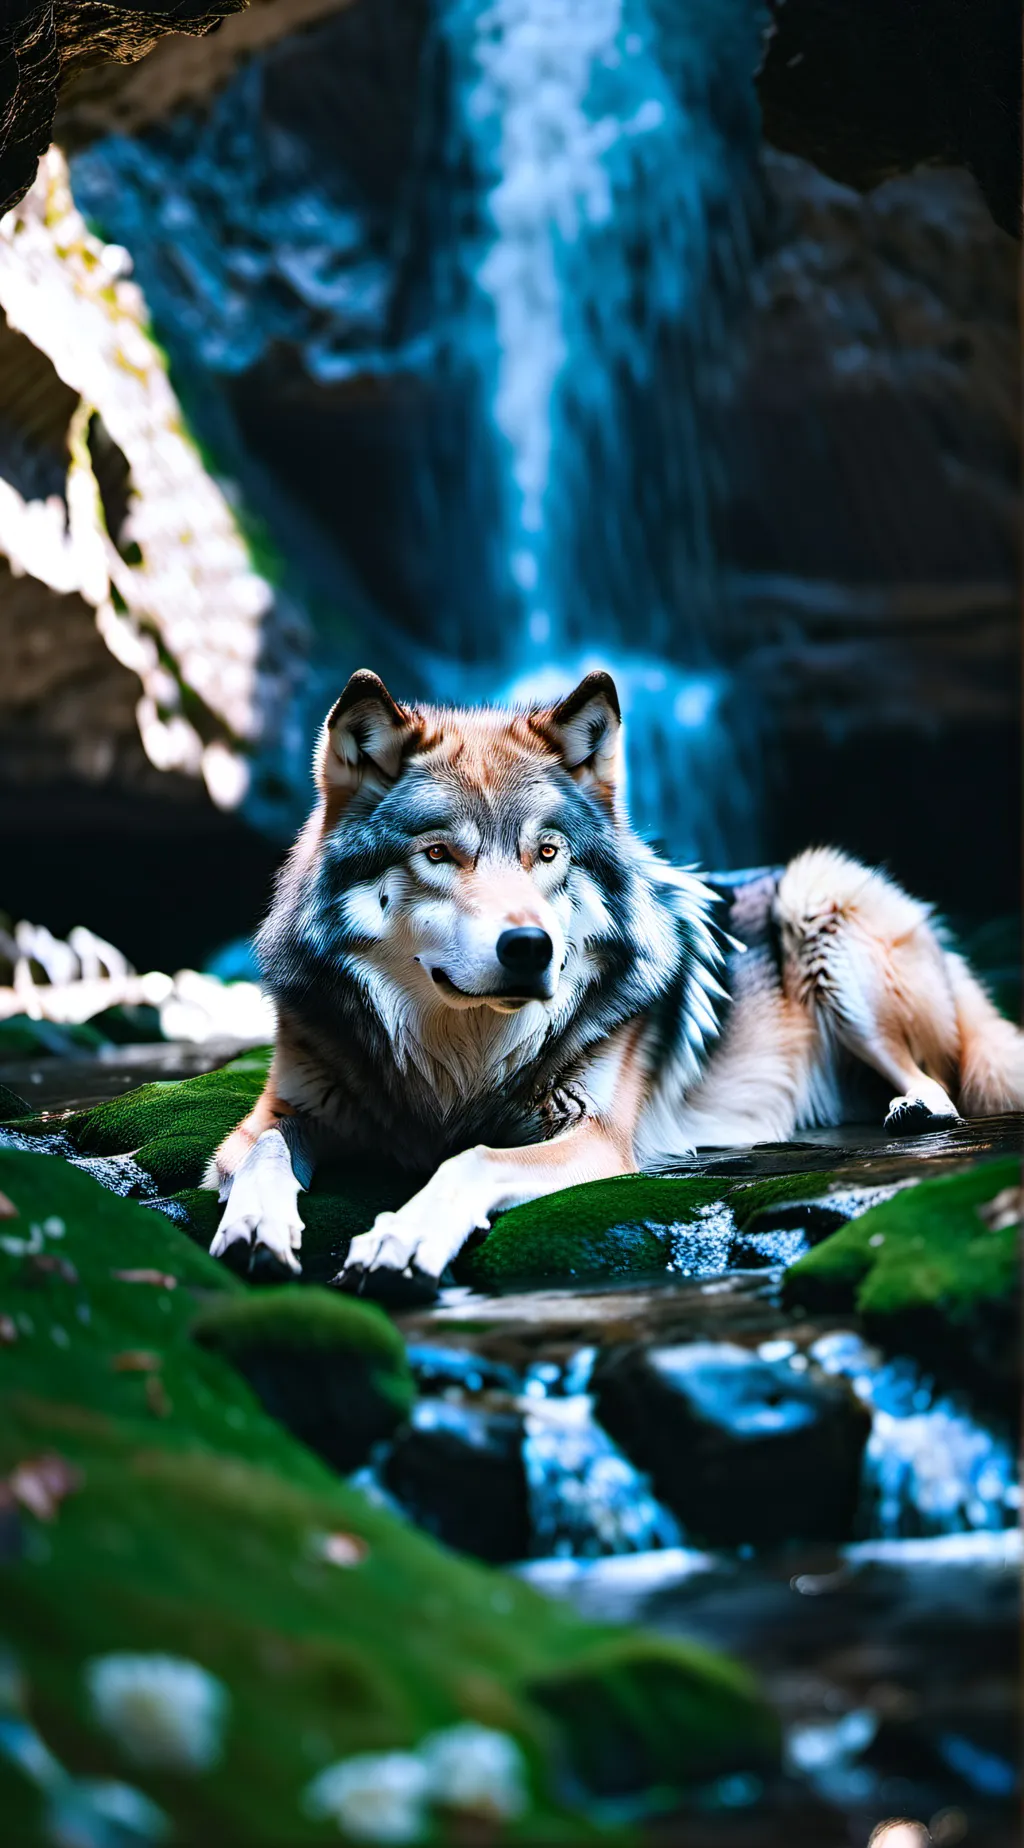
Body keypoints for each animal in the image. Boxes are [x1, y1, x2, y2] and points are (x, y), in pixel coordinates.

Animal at [207, 668, 1024, 1282]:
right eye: (438, 854)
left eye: (546, 852)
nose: (528, 947)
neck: (457, 1067)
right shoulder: (272, 1116)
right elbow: (265, 1154)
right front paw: (256, 1223)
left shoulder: (598, 1139)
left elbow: (472, 1159)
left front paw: (403, 1238)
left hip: (818, 900)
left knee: (936, 1079)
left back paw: (911, 1109)